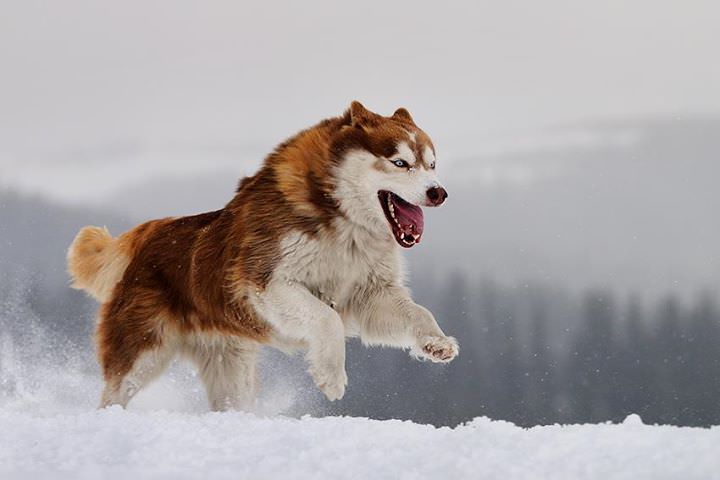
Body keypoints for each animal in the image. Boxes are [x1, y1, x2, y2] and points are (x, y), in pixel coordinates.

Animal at [67, 101, 456, 408]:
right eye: (400, 162)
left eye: (432, 165)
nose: (438, 193)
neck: (343, 222)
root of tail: (148, 232)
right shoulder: (264, 284)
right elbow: (326, 319)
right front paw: (330, 376)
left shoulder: (369, 293)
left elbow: (418, 313)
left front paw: (437, 342)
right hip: (141, 351)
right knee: (115, 391)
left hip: (230, 366)